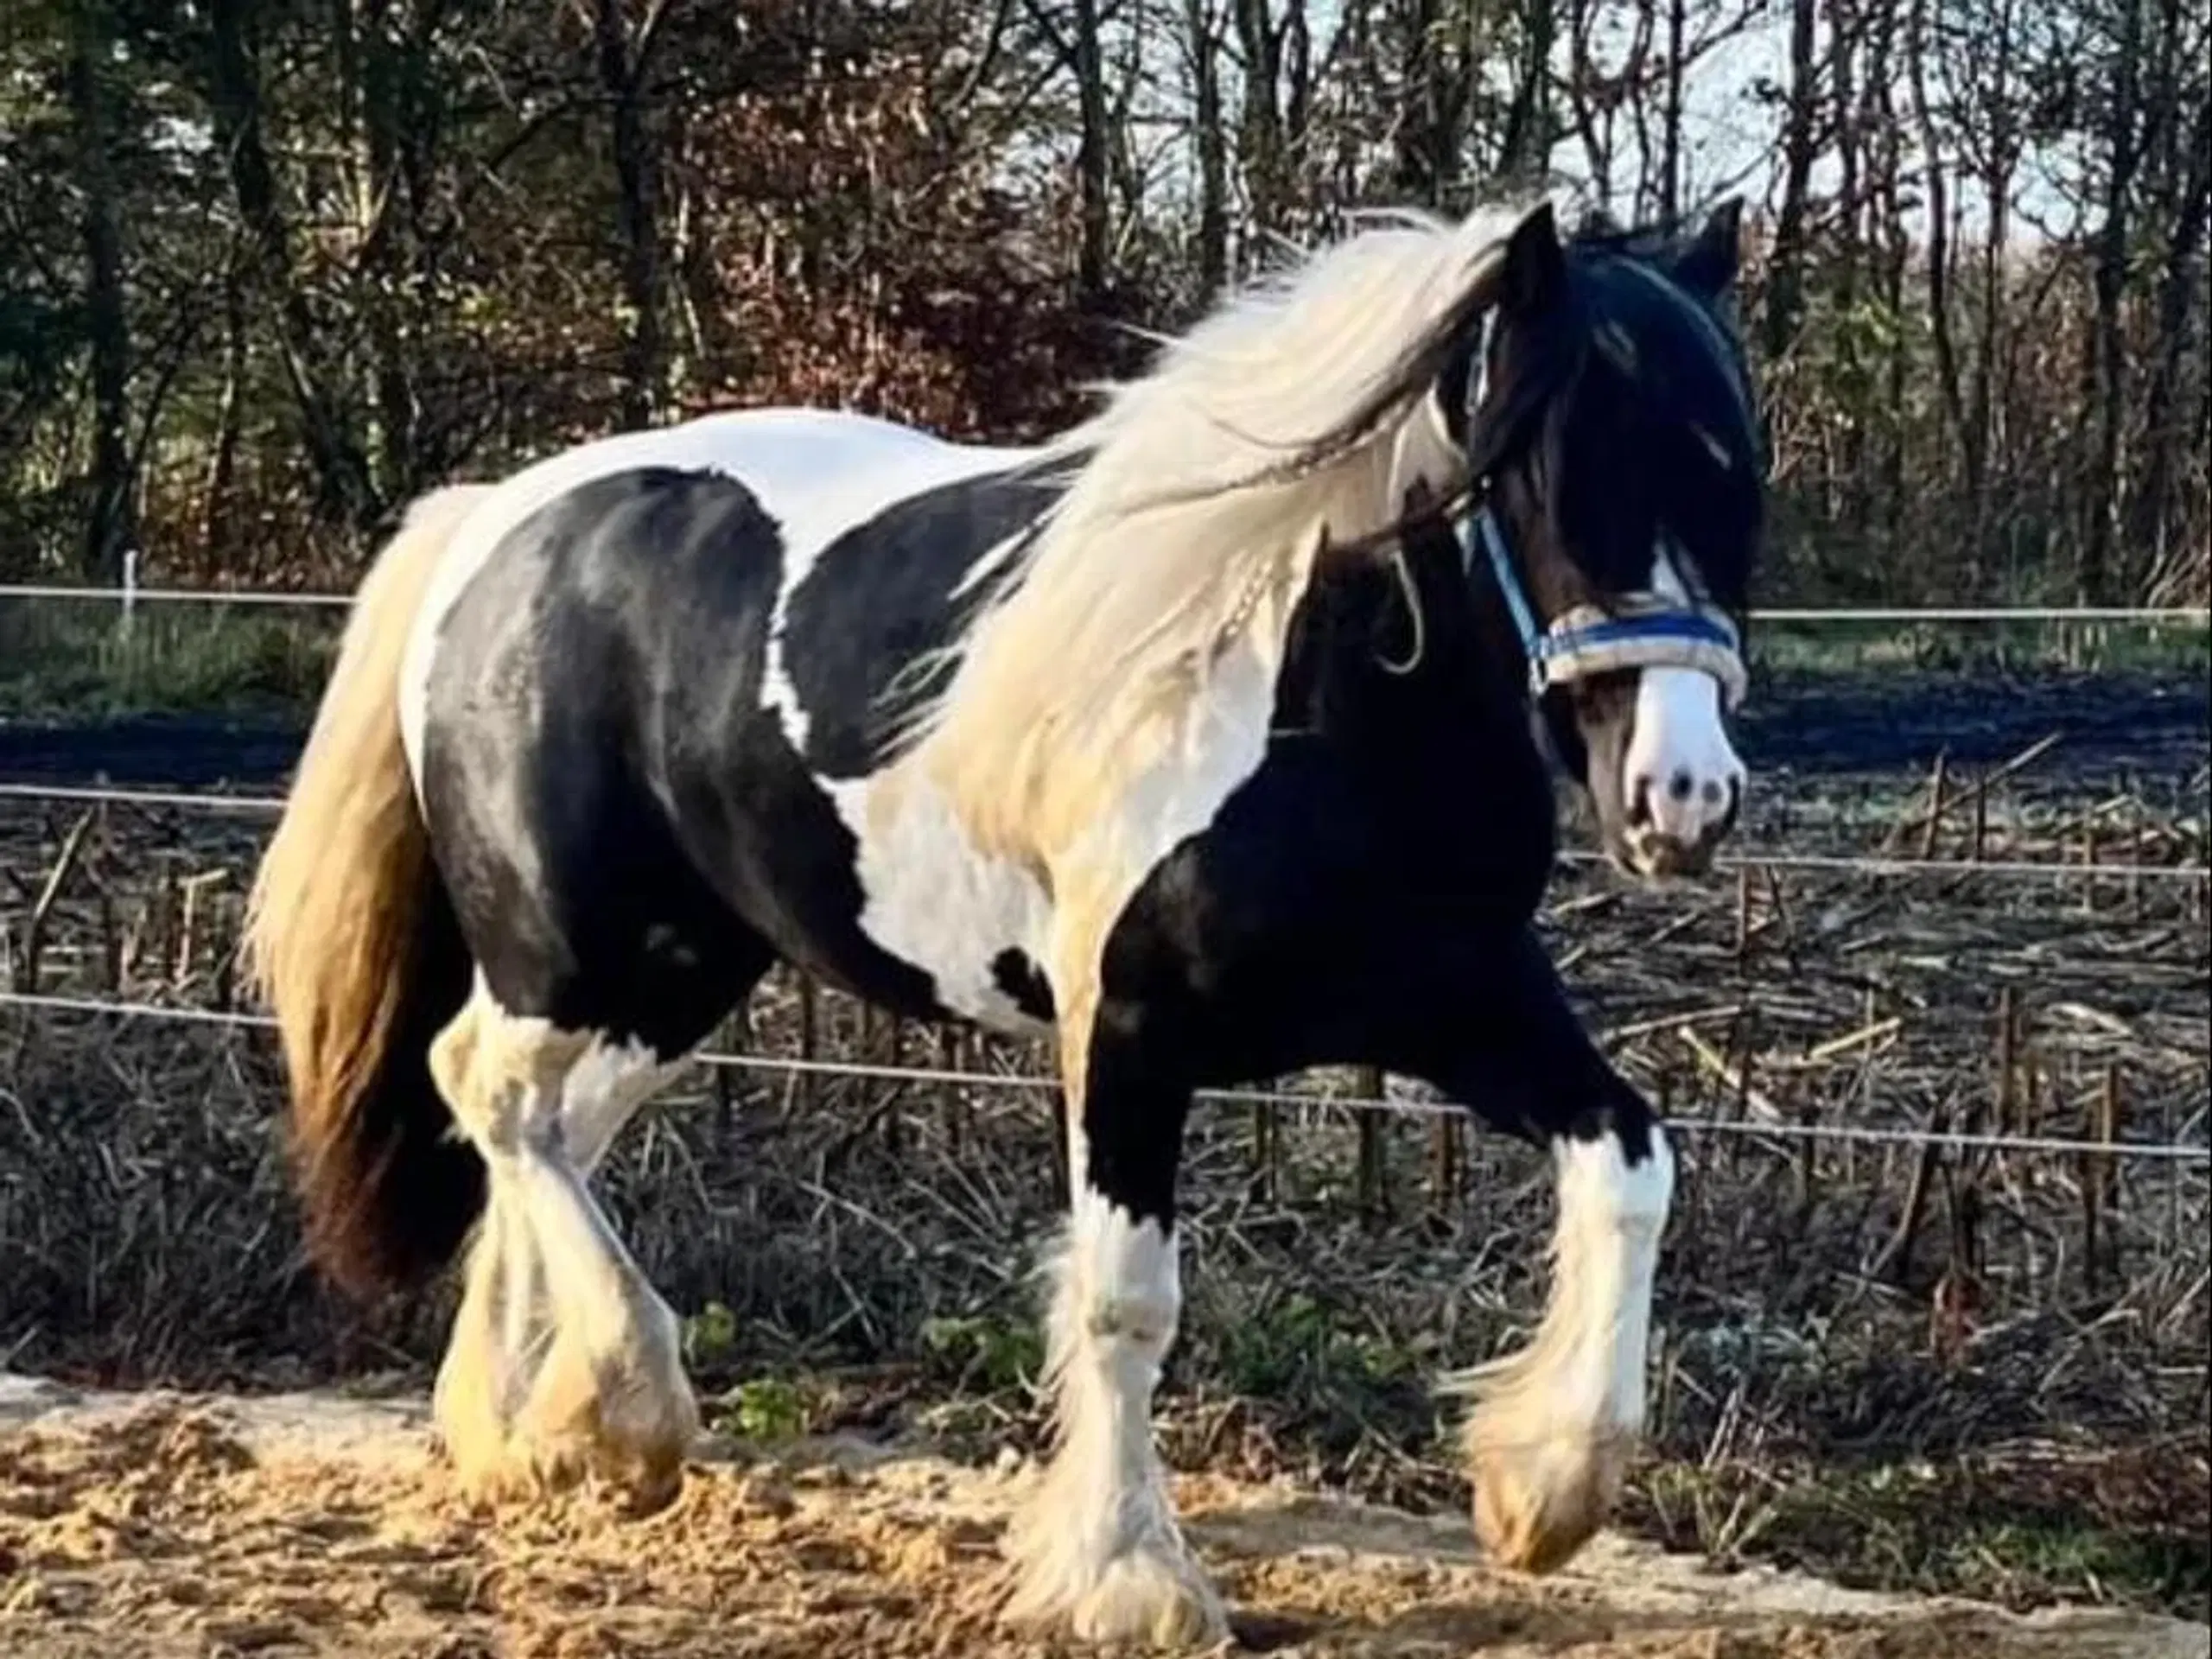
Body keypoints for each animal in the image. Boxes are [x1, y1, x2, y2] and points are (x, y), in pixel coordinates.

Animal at [242, 194, 1760, 1654]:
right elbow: (1125, 1298)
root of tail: (499, 523)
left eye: (1736, 477)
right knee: (488, 1092)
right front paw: (1130, 1581)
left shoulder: (1462, 1001)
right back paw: (626, 1410)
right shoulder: (1131, 1033)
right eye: (1552, 472)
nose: (1680, 797)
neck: (1306, 705)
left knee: (544, 1125)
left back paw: (524, 1433)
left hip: (675, 974)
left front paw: (1544, 1491)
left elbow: (1635, 1162)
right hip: (575, 950)